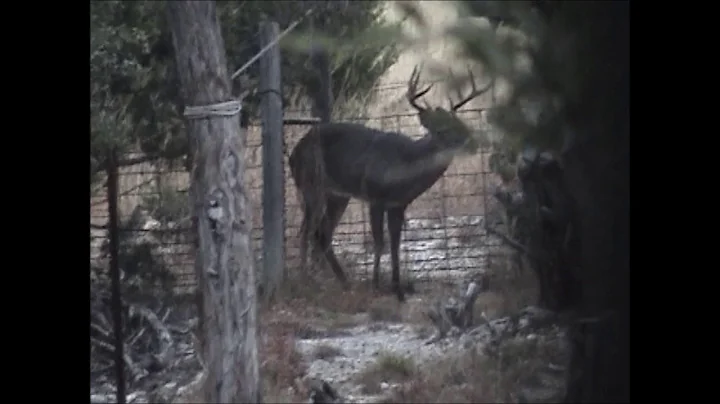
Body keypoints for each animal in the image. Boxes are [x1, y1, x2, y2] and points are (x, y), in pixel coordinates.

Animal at [290, 64, 492, 302]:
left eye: (460, 124)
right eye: (441, 130)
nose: (472, 143)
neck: (404, 168)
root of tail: (293, 154)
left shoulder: (399, 205)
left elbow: (395, 245)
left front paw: (398, 290)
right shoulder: (375, 197)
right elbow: (380, 243)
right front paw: (376, 285)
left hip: (338, 195)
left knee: (323, 233)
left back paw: (344, 281)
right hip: (311, 184)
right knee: (306, 231)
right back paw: (305, 279)